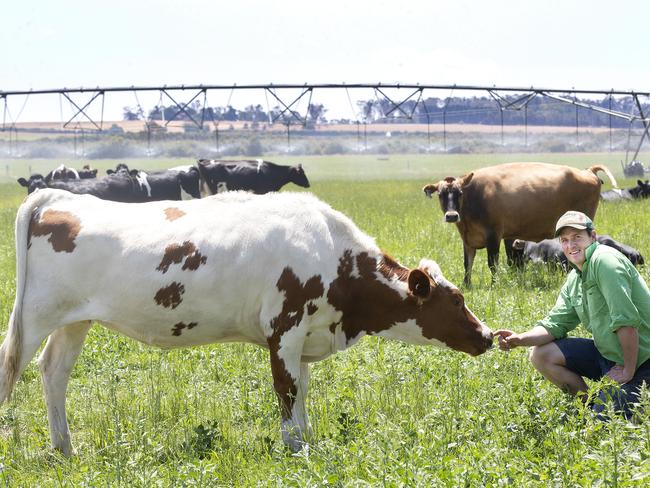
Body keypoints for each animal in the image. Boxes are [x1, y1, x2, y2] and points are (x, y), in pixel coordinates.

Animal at [0, 189, 492, 456]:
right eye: (457, 299)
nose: (487, 336)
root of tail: (61, 197)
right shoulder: (284, 328)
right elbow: (286, 391)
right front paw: (295, 450)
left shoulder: (305, 336)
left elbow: (302, 391)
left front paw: (306, 439)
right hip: (35, 317)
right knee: (12, 370)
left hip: (74, 321)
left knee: (54, 372)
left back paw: (64, 447)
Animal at [422, 162, 616, 288]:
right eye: (441, 194)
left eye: (460, 193)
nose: (452, 215)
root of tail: (587, 171)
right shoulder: (468, 240)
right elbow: (467, 263)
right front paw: (466, 285)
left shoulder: (494, 235)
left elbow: (492, 263)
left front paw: (494, 285)